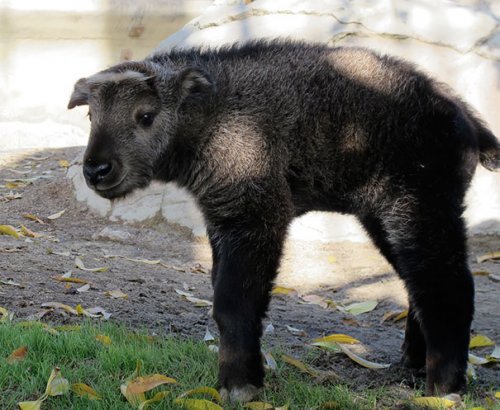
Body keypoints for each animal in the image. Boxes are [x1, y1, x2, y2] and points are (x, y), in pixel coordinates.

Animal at [67, 40, 500, 402]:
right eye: (90, 114)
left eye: (145, 115)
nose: (96, 170)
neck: (213, 114)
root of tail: (464, 117)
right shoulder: (222, 222)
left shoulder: (257, 220)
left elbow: (233, 303)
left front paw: (239, 385)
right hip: (385, 219)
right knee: (417, 285)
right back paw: (411, 365)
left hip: (419, 211)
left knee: (447, 286)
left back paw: (442, 387)